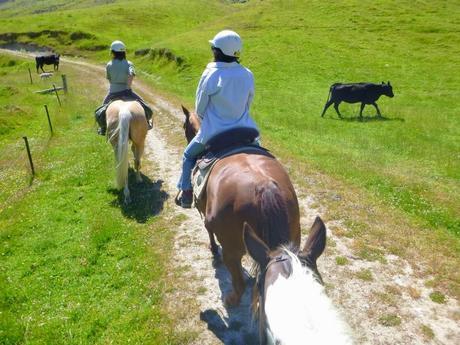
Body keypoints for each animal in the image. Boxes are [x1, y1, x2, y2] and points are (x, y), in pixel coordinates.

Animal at [180, 106, 302, 306]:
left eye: (185, 126)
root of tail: (263, 185)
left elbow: (208, 229)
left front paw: (213, 251)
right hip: (293, 241)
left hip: (232, 250)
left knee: (239, 284)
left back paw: (229, 300)